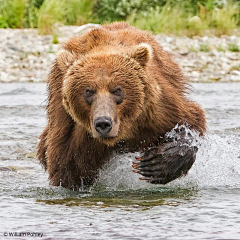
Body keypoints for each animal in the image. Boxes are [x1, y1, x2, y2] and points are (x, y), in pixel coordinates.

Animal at [37, 22, 206, 189]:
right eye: (88, 91)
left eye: (117, 90)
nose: (103, 123)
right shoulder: (69, 127)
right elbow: (66, 165)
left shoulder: (157, 110)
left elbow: (190, 120)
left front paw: (156, 164)